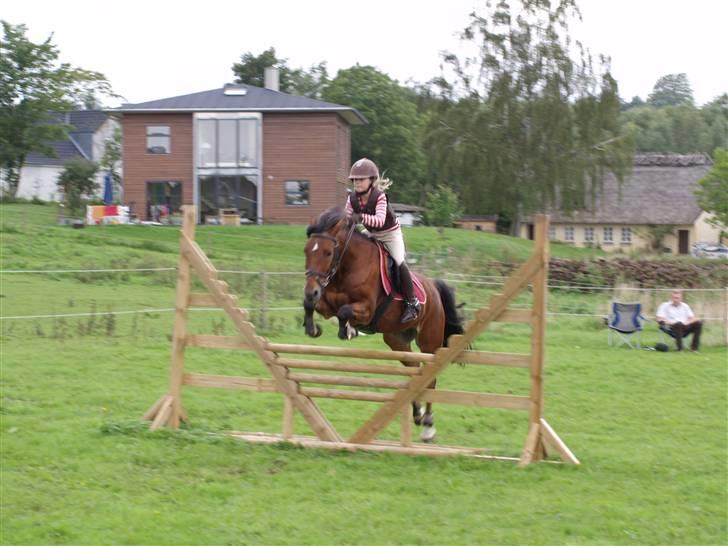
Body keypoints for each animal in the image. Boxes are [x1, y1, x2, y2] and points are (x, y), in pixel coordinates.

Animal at [302, 206, 466, 440]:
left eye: (328, 253)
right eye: (307, 251)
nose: (311, 290)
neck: (347, 266)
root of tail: (433, 287)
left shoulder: (367, 310)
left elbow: (344, 312)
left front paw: (348, 331)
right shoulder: (326, 303)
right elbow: (311, 305)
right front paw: (313, 328)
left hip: (429, 341)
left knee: (430, 377)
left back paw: (428, 426)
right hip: (397, 340)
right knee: (415, 370)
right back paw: (417, 413)